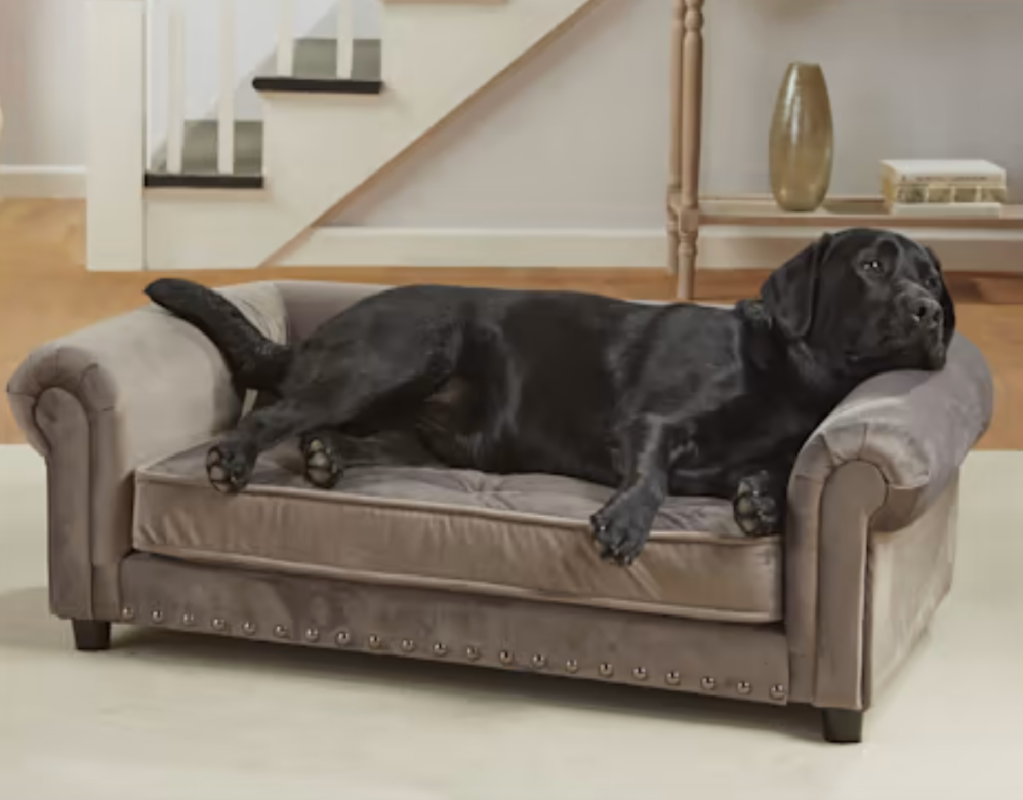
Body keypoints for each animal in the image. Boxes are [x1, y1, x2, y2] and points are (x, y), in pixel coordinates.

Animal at [148, 229, 953, 568]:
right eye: (873, 266)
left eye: (929, 277)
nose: (929, 313)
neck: (791, 373)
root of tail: (319, 332)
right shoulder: (655, 420)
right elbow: (651, 476)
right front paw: (624, 522)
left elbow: (778, 472)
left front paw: (759, 499)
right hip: (399, 355)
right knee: (279, 410)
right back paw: (235, 458)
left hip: (437, 438)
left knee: (350, 437)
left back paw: (325, 459)